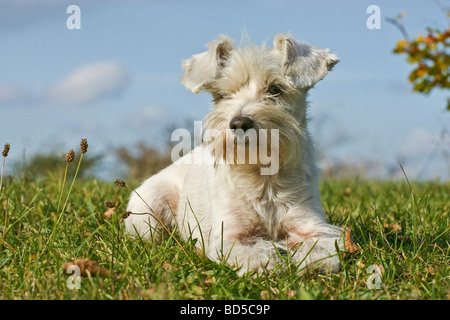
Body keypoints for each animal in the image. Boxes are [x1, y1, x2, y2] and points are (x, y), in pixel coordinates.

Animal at [125, 33, 344, 276]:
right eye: (221, 95)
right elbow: (247, 251)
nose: (239, 123)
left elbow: (322, 246)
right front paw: (265, 263)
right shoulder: (229, 235)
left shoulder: (312, 224)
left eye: (275, 89)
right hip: (150, 210)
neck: (262, 174)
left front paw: (311, 262)